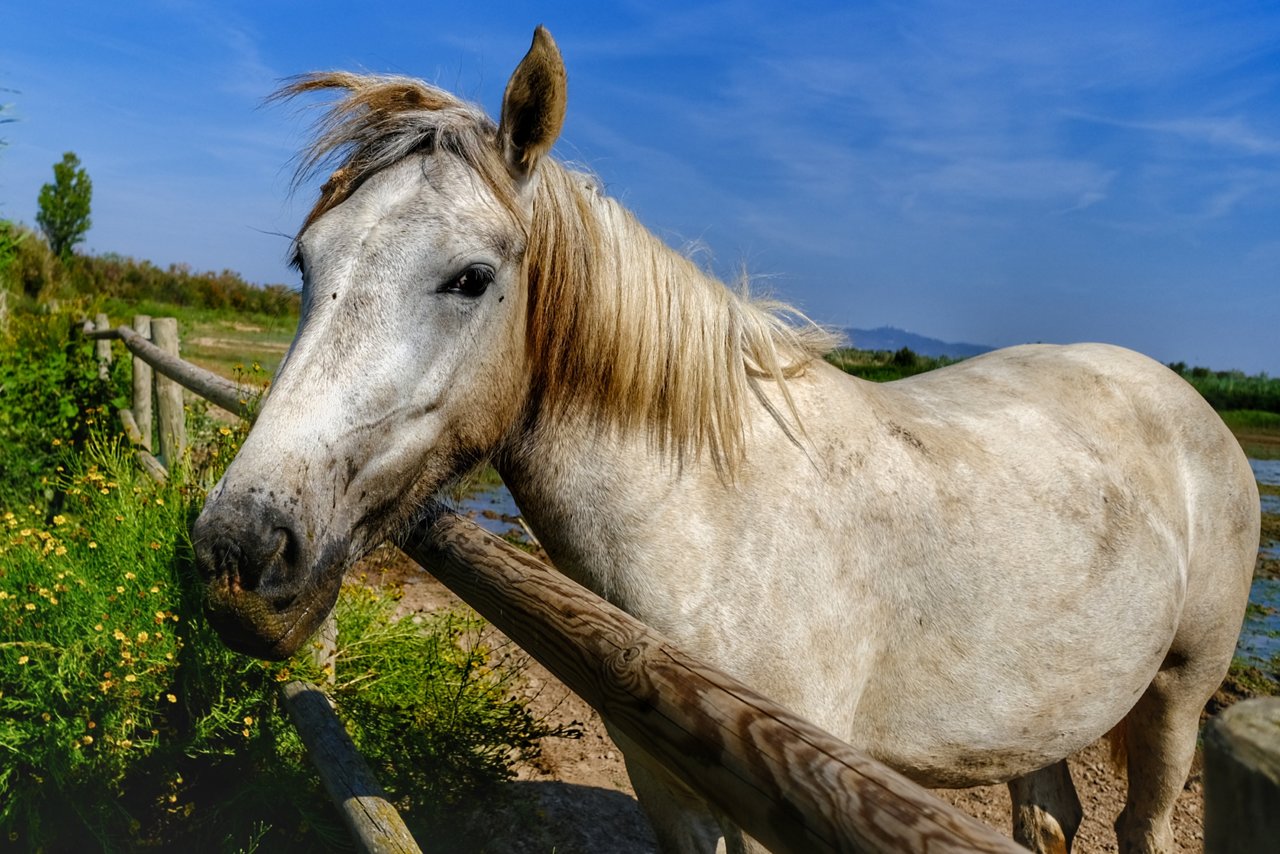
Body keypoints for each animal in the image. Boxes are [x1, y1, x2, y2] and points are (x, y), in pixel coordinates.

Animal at [197, 28, 1259, 854]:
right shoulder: (669, 786)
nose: (240, 550)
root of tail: (1182, 400)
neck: (714, 521)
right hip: (1045, 717)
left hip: (1177, 698)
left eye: (468, 278)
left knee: (1141, 823)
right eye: (305, 262)